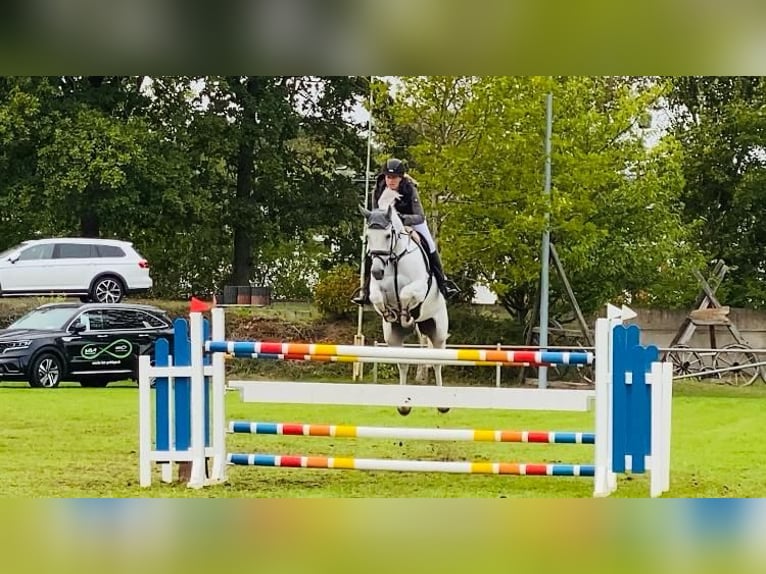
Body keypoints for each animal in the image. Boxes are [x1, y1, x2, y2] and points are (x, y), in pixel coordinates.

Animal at [360, 205, 450, 416]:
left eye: (387, 235)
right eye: (368, 236)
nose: (377, 271)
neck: (394, 259)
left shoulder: (419, 286)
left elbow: (405, 294)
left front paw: (404, 313)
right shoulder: (376, 289)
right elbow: (377, 298)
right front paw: (390, 313)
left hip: (437, 330)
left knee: (437, 362)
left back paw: (442, 405)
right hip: (393, 337)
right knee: (403, 363)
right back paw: (403, 406)